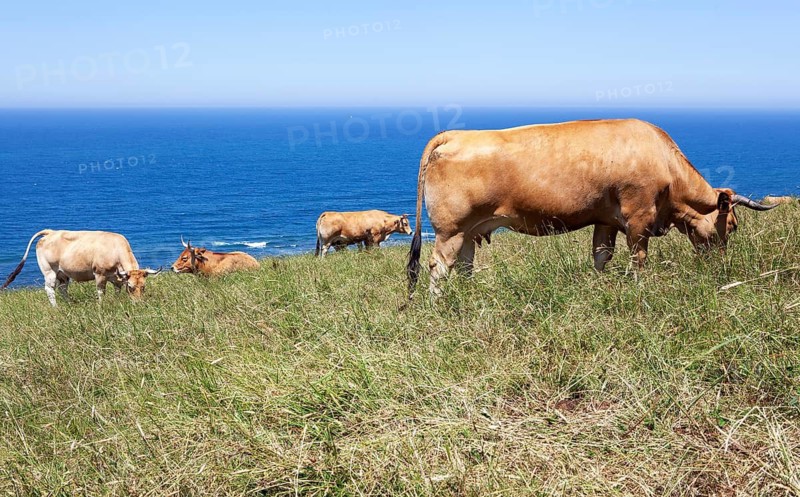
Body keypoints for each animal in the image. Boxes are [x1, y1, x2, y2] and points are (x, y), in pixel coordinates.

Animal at [1, 229, 161, 307]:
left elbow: (117, 290)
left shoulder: (115, 277)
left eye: (143, 287)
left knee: (63, 288)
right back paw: (56, 307)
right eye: (131, 287)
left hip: (63, 273)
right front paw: (101, 305)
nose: (138, 303)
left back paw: (70, 303)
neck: (115, 249)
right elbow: (101, 292)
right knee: (50, 289)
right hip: (49, 271)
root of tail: (51, 232)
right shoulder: (99, 274)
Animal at [407, 119, 778, 297]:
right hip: (451, 228)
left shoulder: (607, 219)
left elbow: (601, 256)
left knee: (464, 265)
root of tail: (454, 135)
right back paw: (439, 304)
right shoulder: (638, 216)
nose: (722, 267)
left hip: (471, 230)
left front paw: (598, 285)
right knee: (439, 266)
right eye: (732, 226)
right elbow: (638, 257)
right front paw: (640, 286)